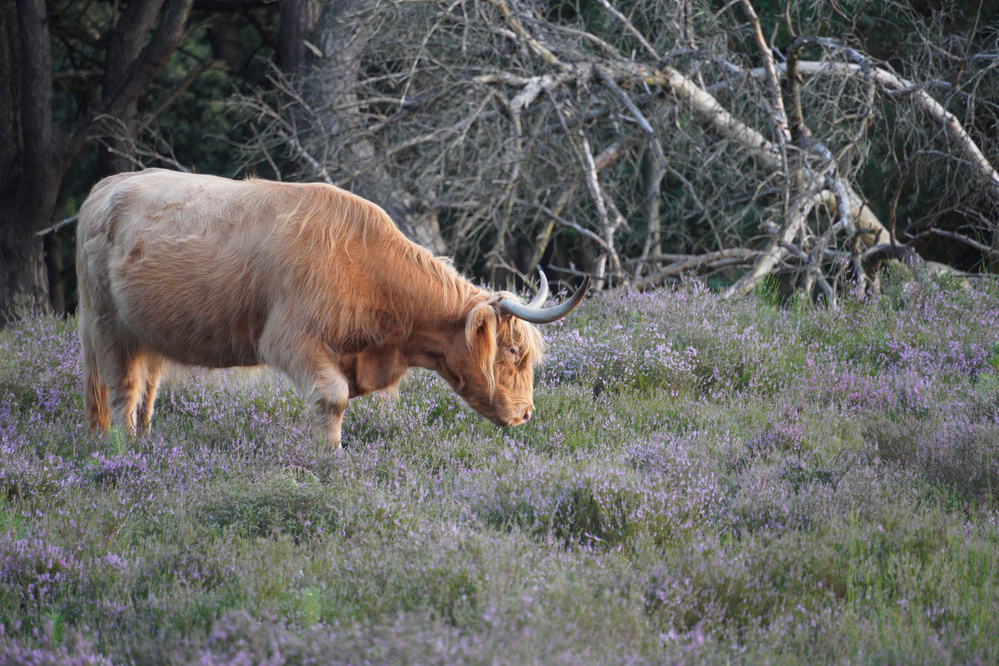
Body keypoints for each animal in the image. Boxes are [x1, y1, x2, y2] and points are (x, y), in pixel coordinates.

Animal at [80, 167, 592, 446]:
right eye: (513, 353)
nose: (526, 414)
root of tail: (109, 185)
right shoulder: (289, 339)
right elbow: (332, 398)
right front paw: (327, 463)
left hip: (149, 334)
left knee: (147, 392)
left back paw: (147, 446)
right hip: (107, 326)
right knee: (122, 391)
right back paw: (126, 455)